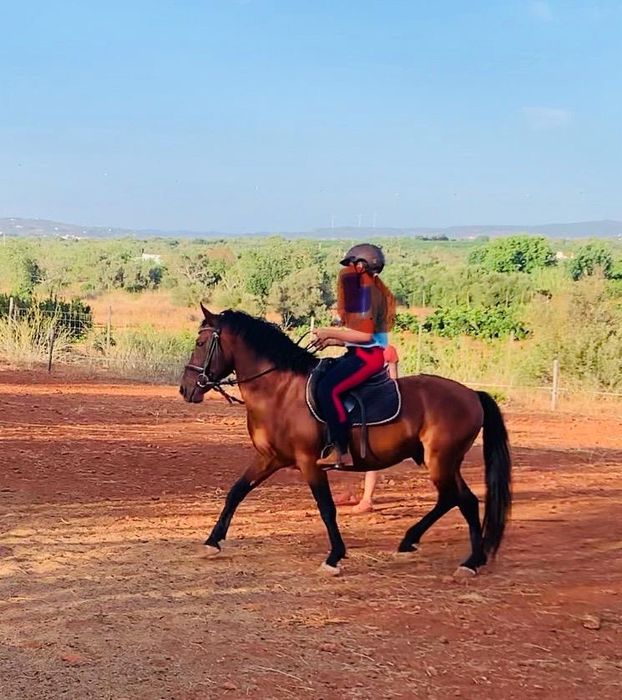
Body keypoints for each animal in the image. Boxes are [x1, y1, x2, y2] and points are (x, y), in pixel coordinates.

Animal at [179, 305, 512, 577]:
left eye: (200, 344)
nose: (185, 389)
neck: (280, 391)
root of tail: (472, 394)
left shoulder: (309, 462)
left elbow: (326, 508)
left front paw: (334, 557)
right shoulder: (269, 457)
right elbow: (236, 492)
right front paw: (212, 542)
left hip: (441, 460)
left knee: (460, 499)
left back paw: (467, 560)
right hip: (443, 462)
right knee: (457, 499)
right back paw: (427, 547)